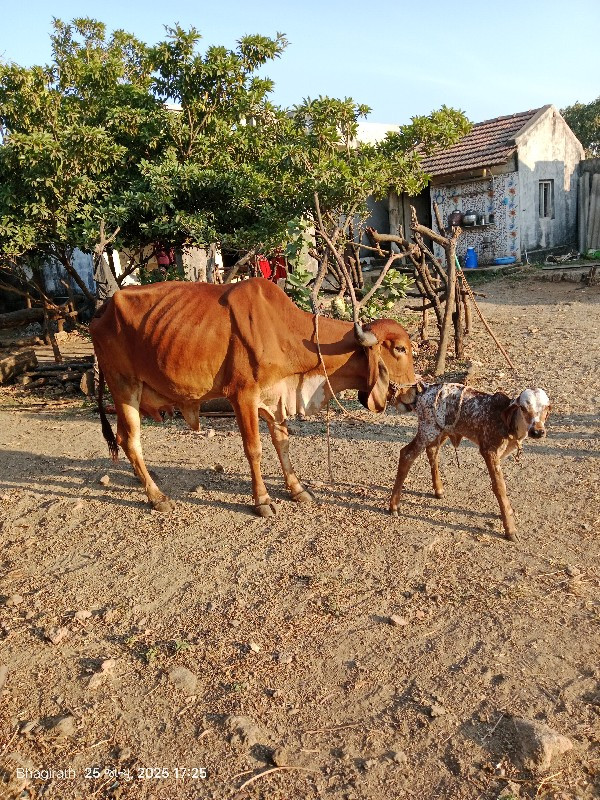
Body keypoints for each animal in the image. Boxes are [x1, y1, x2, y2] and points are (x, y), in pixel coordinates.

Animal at [90, 282, 418, 516]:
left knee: (123, 439)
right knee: (131, 440)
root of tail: (102, 309)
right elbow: (254, 450)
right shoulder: (243, 396)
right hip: (124, 386)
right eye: (400, 349)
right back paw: (156, 496)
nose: (414, 393)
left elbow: (282, 443)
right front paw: (261, 500)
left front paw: (298, 490)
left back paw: (143, 479)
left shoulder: (276, 397)